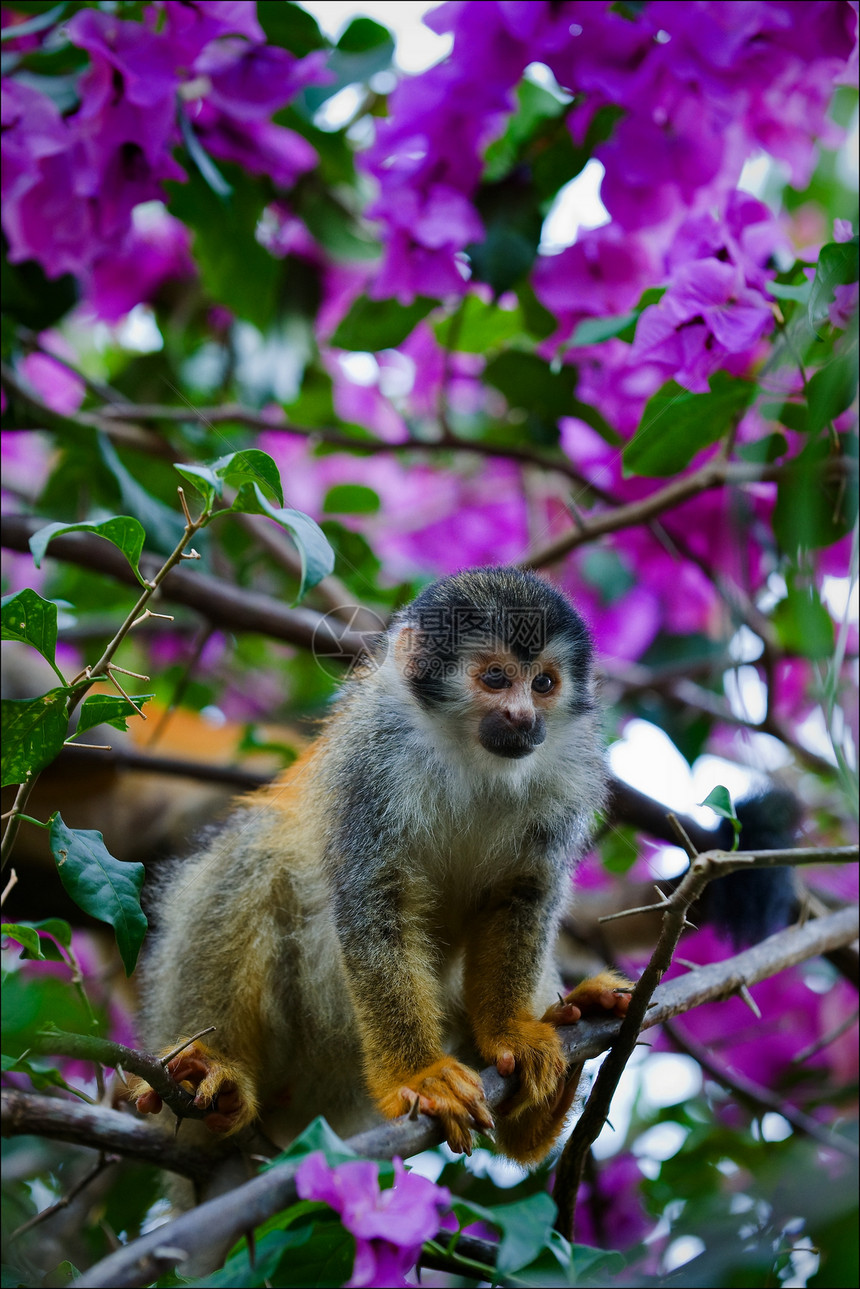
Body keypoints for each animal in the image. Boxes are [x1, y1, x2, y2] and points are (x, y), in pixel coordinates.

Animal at [132, 569, 631, 1165]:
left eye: (544, 684)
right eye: (495, 677)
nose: (523, 718)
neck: (471, 758)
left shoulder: (568, 774)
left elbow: (524, 896)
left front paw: (511, 1032)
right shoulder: (373, 761)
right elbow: (375, 901)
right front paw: (419, 1076)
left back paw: (539, 1109)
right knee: (255, 858)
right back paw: (215, 1077)